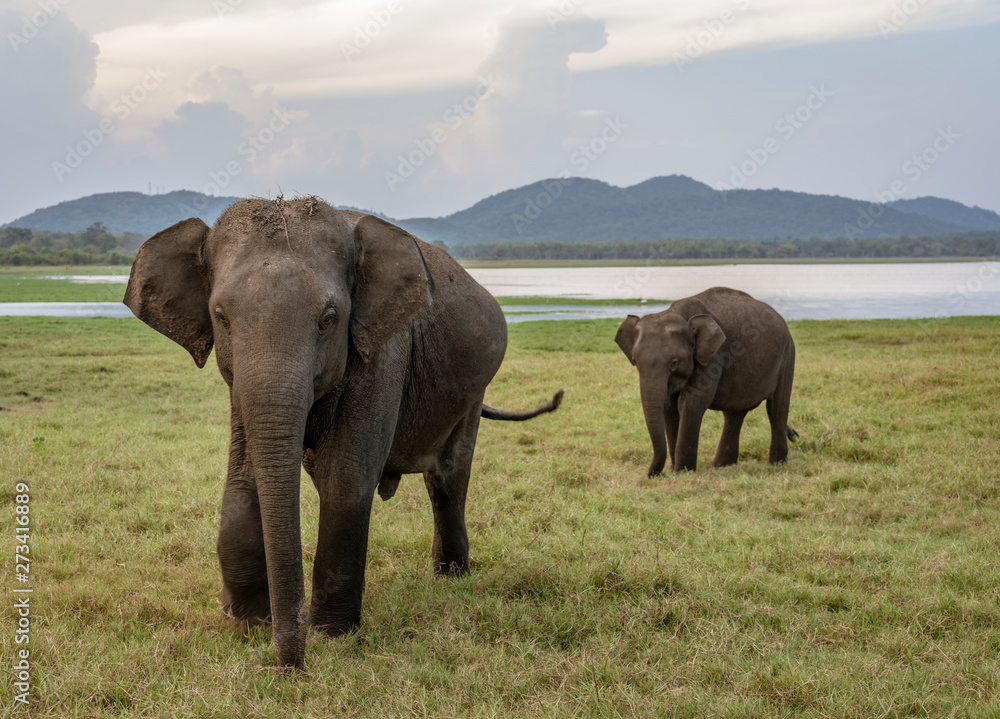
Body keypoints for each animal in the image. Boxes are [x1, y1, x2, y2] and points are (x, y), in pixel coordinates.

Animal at [124, 197, 562, 668]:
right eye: (221, 317)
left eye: (328, 319)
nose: (292, 667)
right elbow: (243, 479)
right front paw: (246, 623)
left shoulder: (384, 352)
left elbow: (346, 480)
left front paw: (330, 635)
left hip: (473, 386)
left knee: (447, 478)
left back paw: (451, 578)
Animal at [614, 287, 796, 475]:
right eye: (634, 361)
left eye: (674, 363)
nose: (654, 476)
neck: (679, 314)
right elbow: (669, 405)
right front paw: (675, 472)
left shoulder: (714, 356)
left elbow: (689, 402)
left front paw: (682, 473)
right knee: (734, 413)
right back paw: (721, 466)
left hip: (787, 355)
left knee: (776, 408)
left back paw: (776, 464)